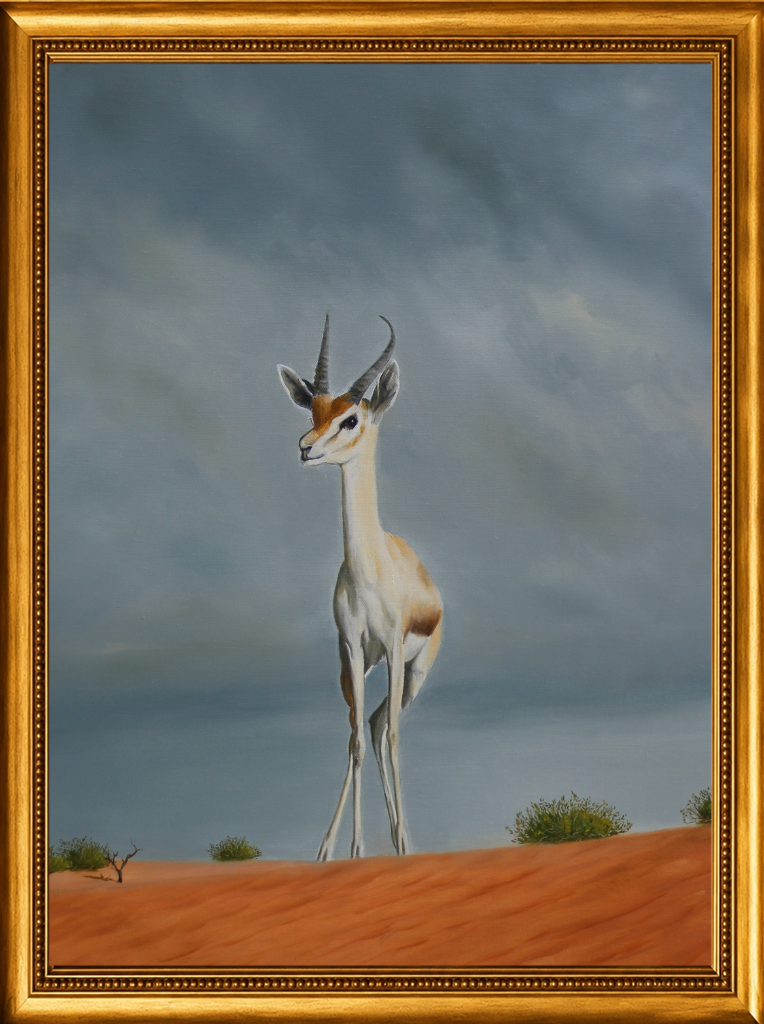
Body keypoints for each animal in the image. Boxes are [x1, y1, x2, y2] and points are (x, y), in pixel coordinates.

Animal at [278, 315, 443, 860]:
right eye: (314, 408)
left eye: (351, 419)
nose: (306, 447)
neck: (369, 571)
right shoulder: (352, 645)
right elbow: (353, 742)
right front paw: (352, 850)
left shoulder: (391, 647)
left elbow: (391, 738)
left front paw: (393, 846)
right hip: (357, 669)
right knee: (362, 726)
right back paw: (334, 846)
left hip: (413, 673)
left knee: (382, 725)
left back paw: (401, 839)